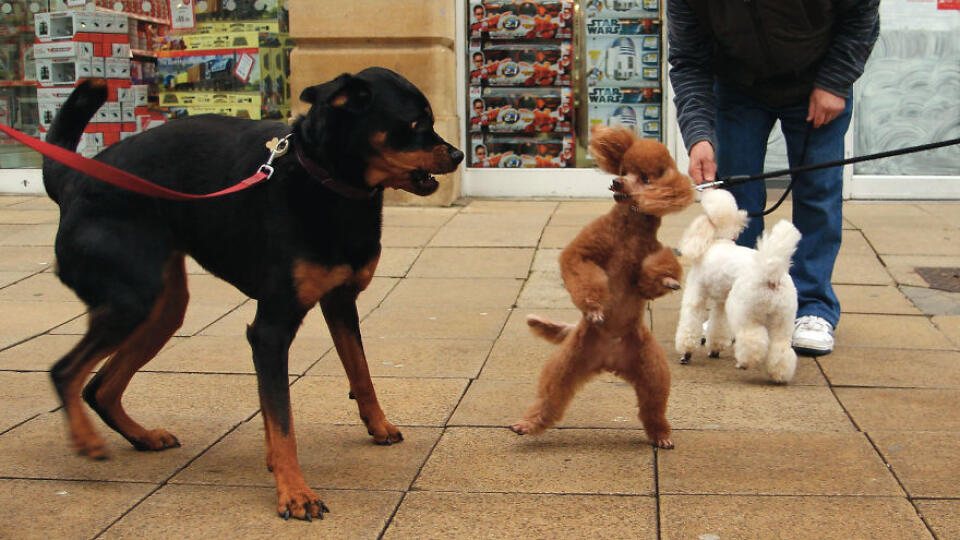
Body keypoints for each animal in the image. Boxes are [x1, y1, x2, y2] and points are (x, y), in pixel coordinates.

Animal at [676, 190, 804, 384]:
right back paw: (779, 374)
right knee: (781, 347)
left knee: (753, 338)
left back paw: (744, 363)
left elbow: (690, 322)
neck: (719, 240)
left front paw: (686, 353)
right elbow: (719, 323)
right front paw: (715, 349)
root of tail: (770, 274)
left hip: (743, 309)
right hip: (784, 316)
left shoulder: (696, 293)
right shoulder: (721, 301)